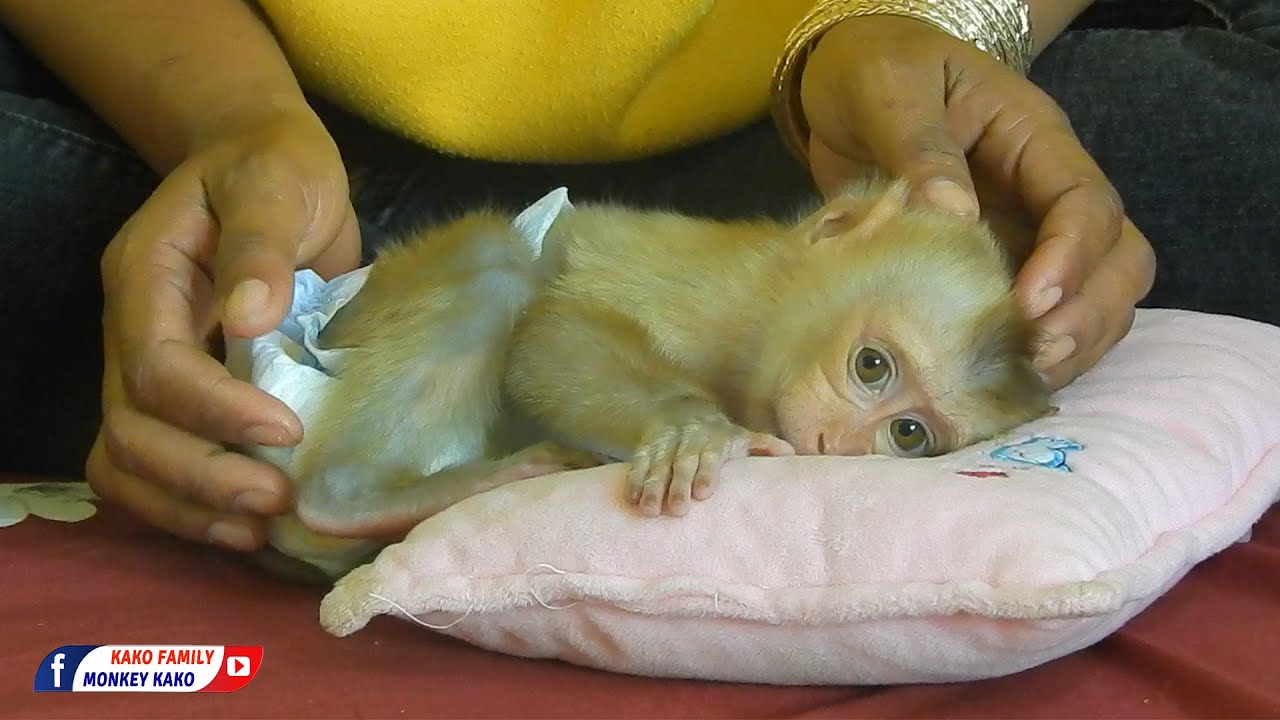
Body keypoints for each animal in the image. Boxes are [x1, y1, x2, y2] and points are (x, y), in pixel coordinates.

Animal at [227, 175, 1054, 585]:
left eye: (908, 435)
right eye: (871, 366)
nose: (831, 440)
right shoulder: (718, 296)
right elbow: (550, 338)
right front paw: (695, 430)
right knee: (499, 266)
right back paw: (351, 497)